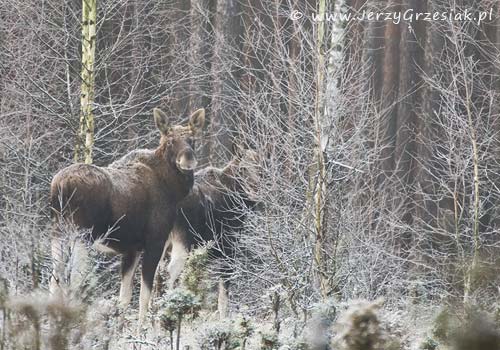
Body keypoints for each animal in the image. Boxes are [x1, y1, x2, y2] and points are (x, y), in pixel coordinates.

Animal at [50, 106, 205, 322]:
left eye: (192, 139)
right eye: (170, 140)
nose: (188, 159)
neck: (172, 190)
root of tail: (60, 187)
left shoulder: (131, 250)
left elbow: (124, 298)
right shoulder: (155, 243)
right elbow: (144, 298)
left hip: (58, 235)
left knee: (54, 282)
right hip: (81, 236)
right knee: (74, 282)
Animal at [164, 146, 260, 318]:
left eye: (260, 167)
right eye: (243, 168)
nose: (255, 191)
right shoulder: (228, 248)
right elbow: (223, 296)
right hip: (183, 242)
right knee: (171, 272)